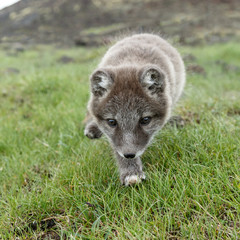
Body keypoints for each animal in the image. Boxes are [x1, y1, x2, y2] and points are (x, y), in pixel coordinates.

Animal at [84, 33, 186, 186]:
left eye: (145, 120)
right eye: (112, 122)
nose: (129, 155)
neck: (131, 61)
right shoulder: (113, 137)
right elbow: (116, 147)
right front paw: (130, 172)